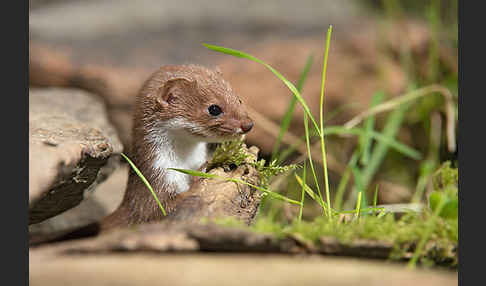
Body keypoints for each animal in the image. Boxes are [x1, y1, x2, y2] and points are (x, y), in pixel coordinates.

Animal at [101, 65, 254, 230]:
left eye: (238, 99)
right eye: (214, 109)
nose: (248, 124)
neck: (184, 161)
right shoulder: (154, 186)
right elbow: (160, 210)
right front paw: (199, 177)